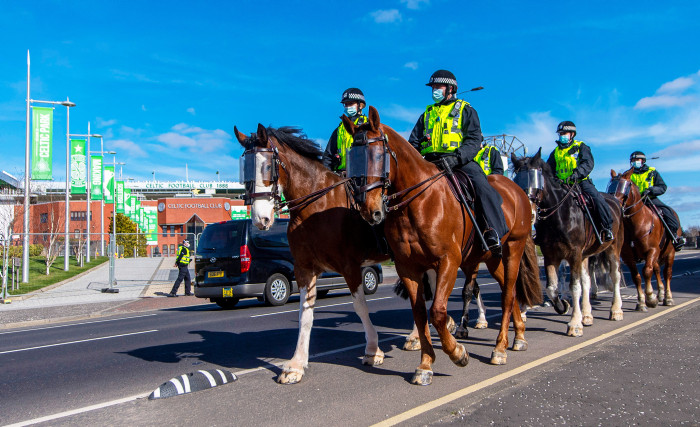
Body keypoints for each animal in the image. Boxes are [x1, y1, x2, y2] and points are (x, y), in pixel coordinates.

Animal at [234, 123, 388, 384]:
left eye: (268, 166)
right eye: (244, 168)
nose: (260, 219)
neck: (317, 207)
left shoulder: (350, 266)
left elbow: (360, 307)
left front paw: (373, 349)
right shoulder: (304, 268)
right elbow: (305, 314)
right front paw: (296, 364)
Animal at [342, 108, 544, 388]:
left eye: (379, 155)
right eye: (352, 157)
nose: (369, 210)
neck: (418, 203)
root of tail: (519, 193)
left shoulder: (448, 261)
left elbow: (437, 312)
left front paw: (458, 352)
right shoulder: (408, 267)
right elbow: (420, 314)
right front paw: (426, 364)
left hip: (513, 249)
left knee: (506, 295)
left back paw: (500, 348)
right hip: (492, 257)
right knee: (510, 290)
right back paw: (519, 337)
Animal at [608, 169, 680, 310]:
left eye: (626, 187)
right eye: (610, 187)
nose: (613, 207)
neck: (636, 224)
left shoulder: (652, 251)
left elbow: (646, 272)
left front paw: (650, 298)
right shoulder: (628, 257)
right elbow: (636, 277)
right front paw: (641, 302)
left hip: (670, 252)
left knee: (667, 273)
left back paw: (668, 297)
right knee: (657, 270)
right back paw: (661, 293)